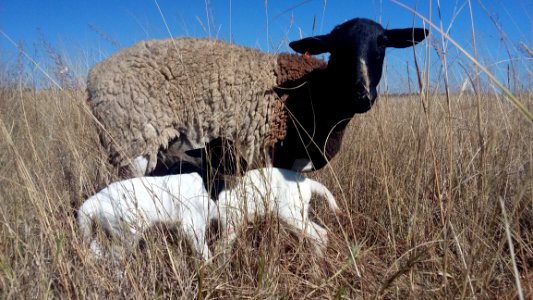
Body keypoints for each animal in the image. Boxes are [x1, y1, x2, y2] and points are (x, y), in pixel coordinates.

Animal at [77, 172, 214, 262]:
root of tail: (92, 201)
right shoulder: (192, 225)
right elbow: (205, 252)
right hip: (127, 235)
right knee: (115, 261)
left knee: (95, 252)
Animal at [88, 17, 428, 176]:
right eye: (336, 47)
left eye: (382, 45)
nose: (362, 96)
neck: (316, 93)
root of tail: (93, 80)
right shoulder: (279, 155)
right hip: (130, 142)